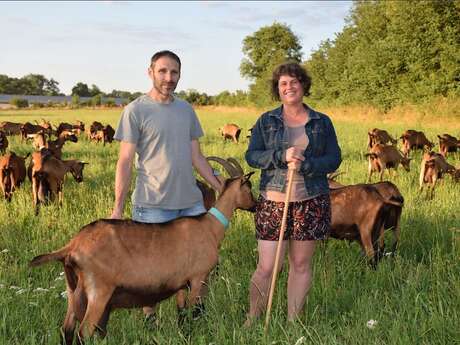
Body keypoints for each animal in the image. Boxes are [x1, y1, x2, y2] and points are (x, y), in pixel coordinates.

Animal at [30, 171, 256, 342]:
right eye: (249, 187)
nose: (256, 205)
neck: (210, 227)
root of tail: (73, 245)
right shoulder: (198, 278)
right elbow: (193, 311)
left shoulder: (181, 283)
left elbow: (182, 314)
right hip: (98, 292)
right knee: (82, 333)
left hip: (73, 290)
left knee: (66, 330)